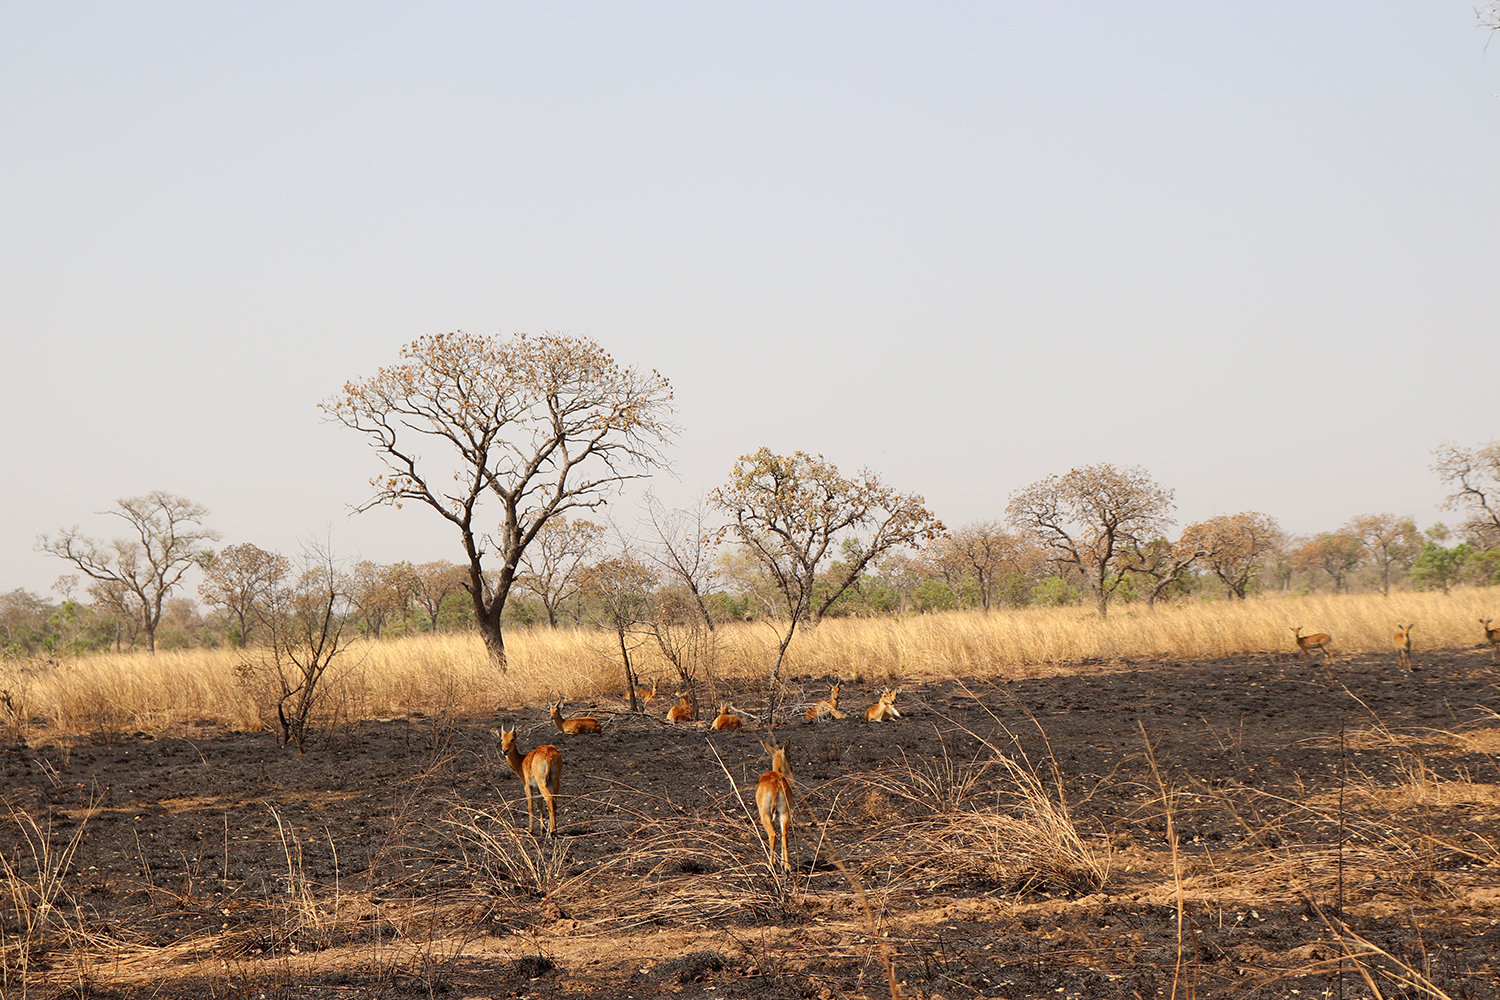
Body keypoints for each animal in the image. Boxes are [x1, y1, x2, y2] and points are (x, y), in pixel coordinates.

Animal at [756, 740, 792, 869]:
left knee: (773, 834)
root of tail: (776, 785)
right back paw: (787, 866)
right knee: (784, 835)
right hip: (785, 812)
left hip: (765, 814)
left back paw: (771, 865)